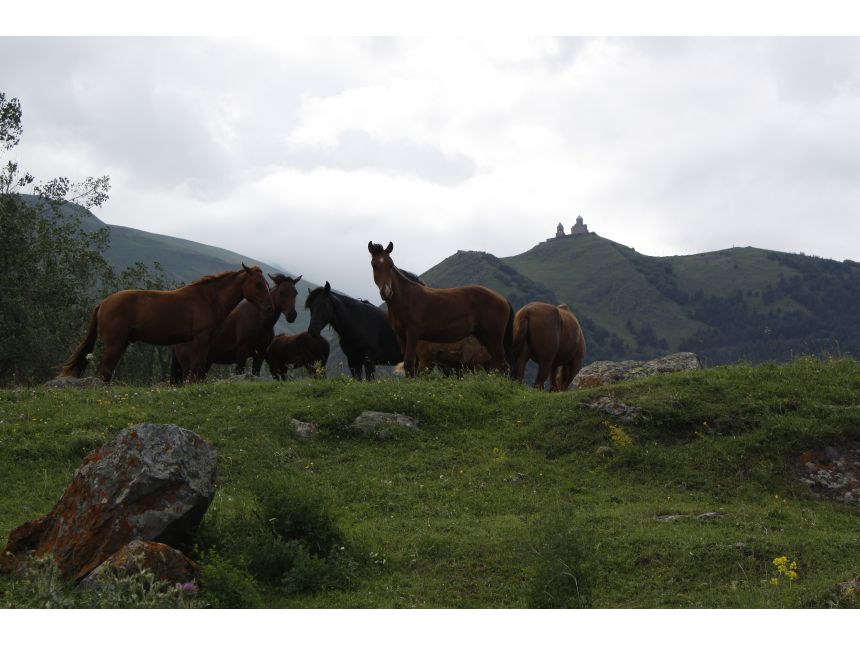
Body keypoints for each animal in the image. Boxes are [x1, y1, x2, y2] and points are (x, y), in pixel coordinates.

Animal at [59, 264, 274, 384]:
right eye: (257, 284)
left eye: (266, 284)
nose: (269, 308)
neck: (208, 298)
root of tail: (103, 303)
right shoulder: (200, 339)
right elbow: (196, 370)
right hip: (115, 343)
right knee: (104, 371)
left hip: (121, 343)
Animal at [169, 274, 302, 384]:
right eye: (282, 292)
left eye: (295, 293)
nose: (292, 315)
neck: (258, 321)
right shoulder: (242, 352)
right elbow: (239, 372)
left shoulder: (259, 354)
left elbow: (255, 373)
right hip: (188, 366)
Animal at [368, 242, 512, 380]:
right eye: (374, 265)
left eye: (391, 264)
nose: (386, 292)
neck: (406, 297)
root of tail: (503, 299)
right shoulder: (401, 336)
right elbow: (408, 367)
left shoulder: (412, 334)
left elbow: (409, 364)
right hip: (485, 339)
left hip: (493, 338)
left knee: (503, 367)